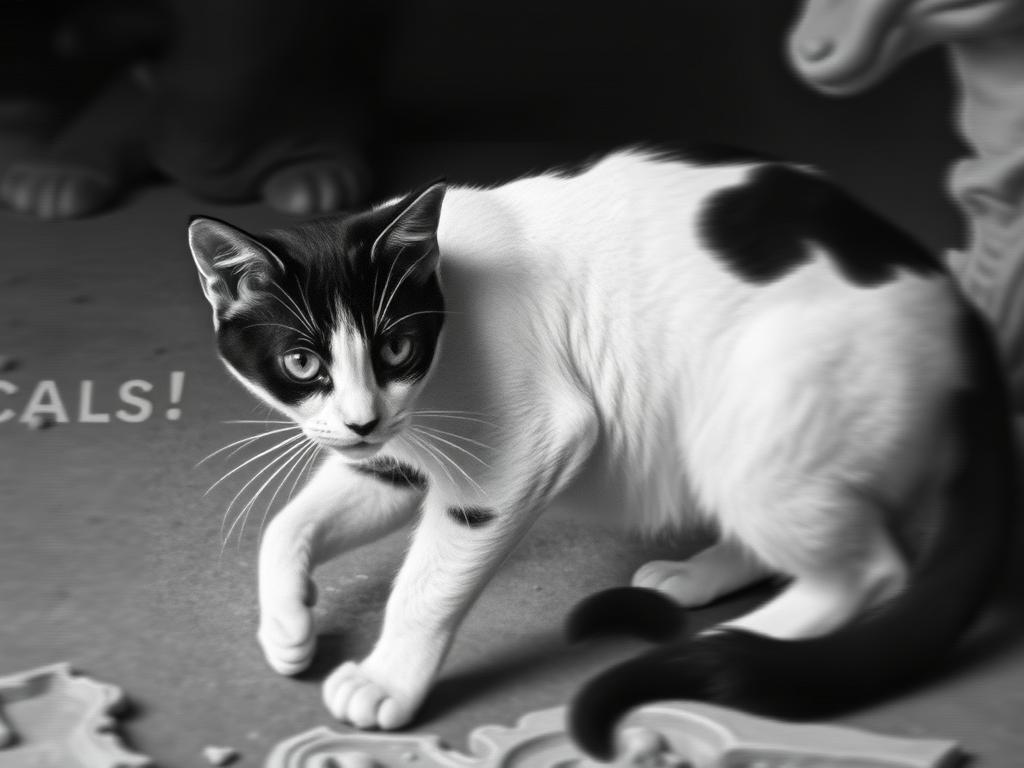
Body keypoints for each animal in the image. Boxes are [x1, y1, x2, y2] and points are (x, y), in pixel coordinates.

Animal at [188, 151, 1011, 765]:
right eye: (302, 362)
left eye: (396, 347)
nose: (363, 418)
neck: (451, 291)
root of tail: (961, 311)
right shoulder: (390, 450)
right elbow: (288, 525)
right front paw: (287, 623)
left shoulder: (524, 446)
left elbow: (428, 583)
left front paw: (389, 679)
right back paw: (699, 576)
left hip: (757, 418)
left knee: (870, 571)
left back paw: (733, 640)